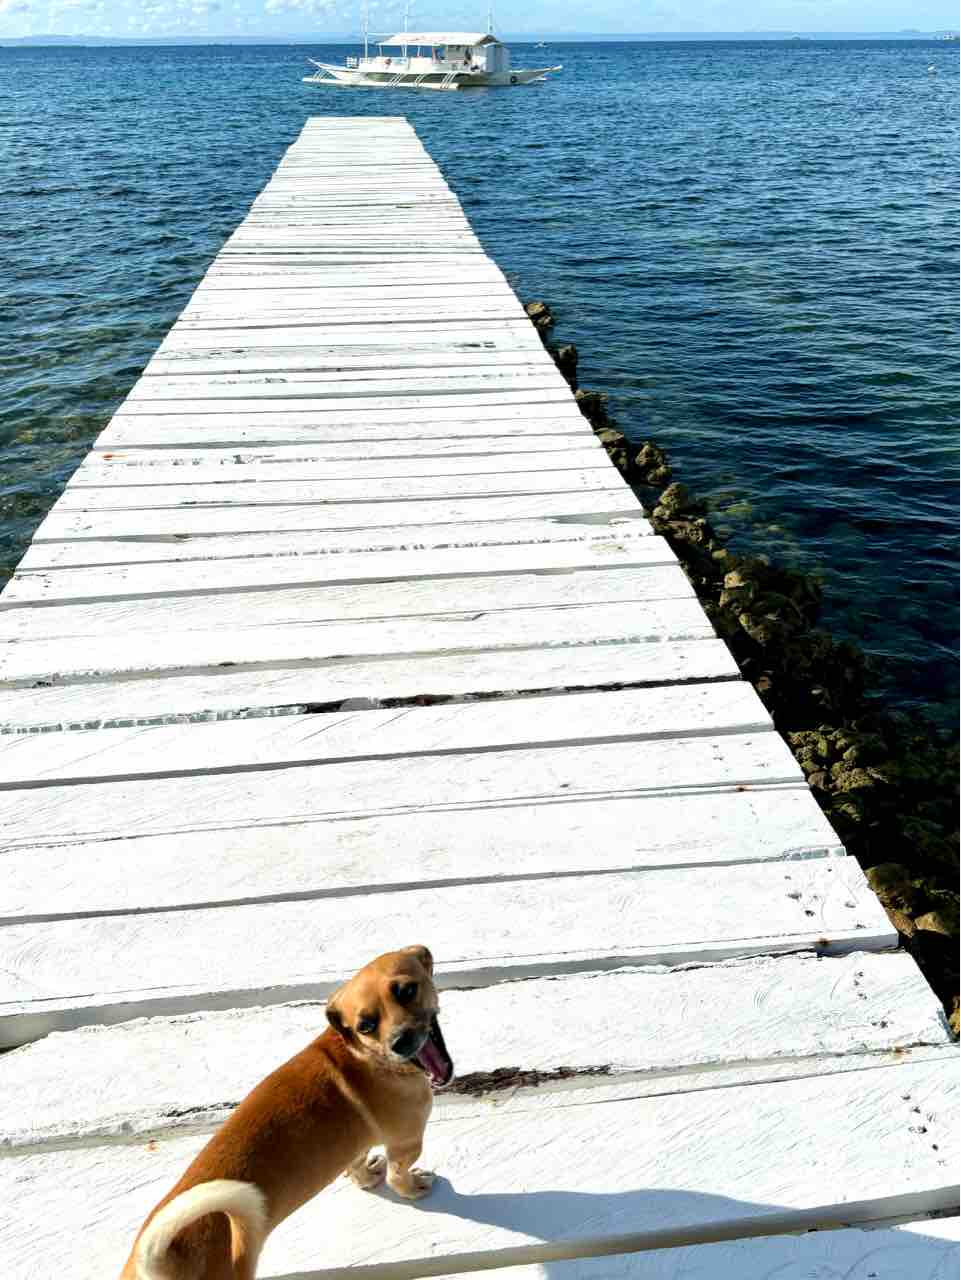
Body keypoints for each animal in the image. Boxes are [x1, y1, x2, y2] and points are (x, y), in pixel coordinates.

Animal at [120, 944, 454, 1280]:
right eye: (366, 1026)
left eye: (407, 990)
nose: (400, 1042)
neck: (363, 1055)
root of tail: (162, 1266)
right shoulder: (406, 1143)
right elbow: (398, 1177)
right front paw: (413, 1187)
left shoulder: (355, 1144)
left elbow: (356, 1164)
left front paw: (366, 1176)